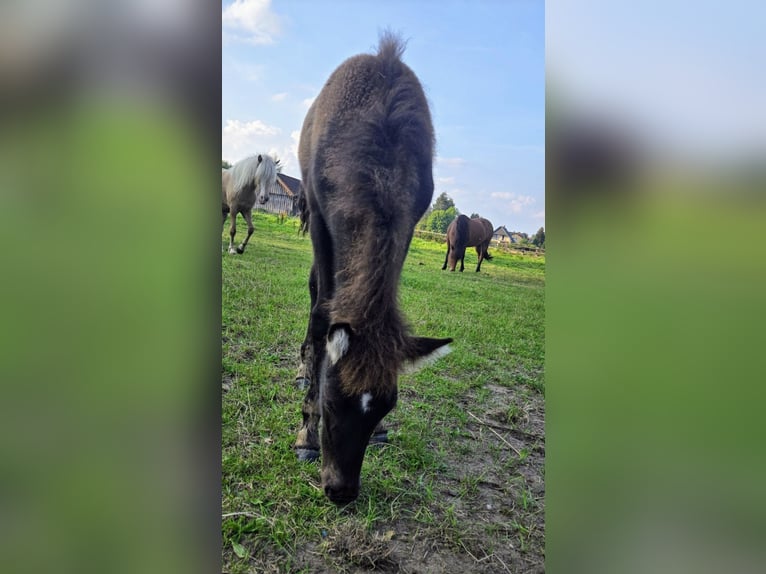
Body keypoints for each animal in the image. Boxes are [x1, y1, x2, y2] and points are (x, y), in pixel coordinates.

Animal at [292, 33, 450, 506]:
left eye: (386, 405)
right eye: (330, 402)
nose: (341, 491)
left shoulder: (410, 223)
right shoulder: (320, 220)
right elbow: (320, 315)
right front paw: (305, 434)